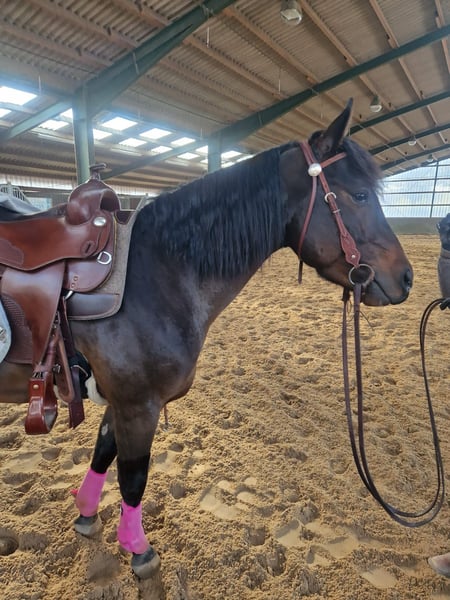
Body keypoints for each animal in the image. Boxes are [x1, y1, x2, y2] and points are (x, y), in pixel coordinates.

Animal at [0, 99, 413, 578]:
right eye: (360, 195)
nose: (406, 278)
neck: (159, 270)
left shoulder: (119, 399)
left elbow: (104, 453)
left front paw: (86, 513)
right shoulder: (139, 405)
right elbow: (134, 478)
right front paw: (138, 548)